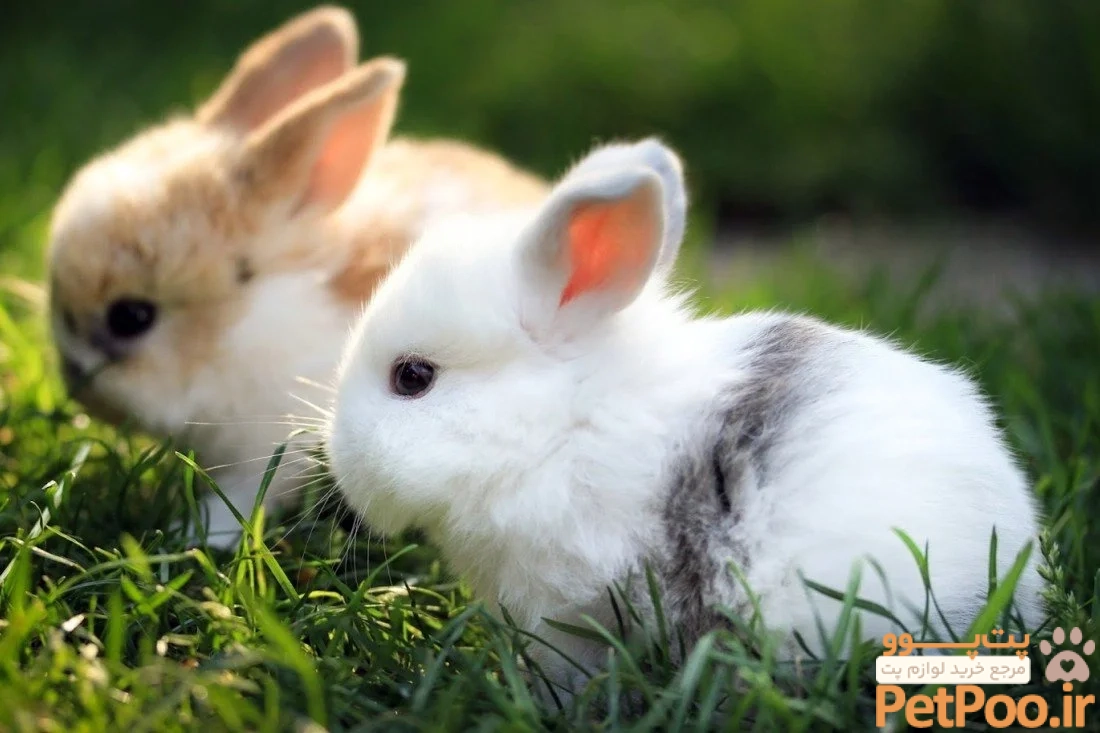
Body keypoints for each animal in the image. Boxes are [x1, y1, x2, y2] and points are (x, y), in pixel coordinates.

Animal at [46, 6, 548, 548]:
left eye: (131, 317)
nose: (77, 385)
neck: (246, 323)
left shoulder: (270, 447)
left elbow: (243, 496)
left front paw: (193, 535)